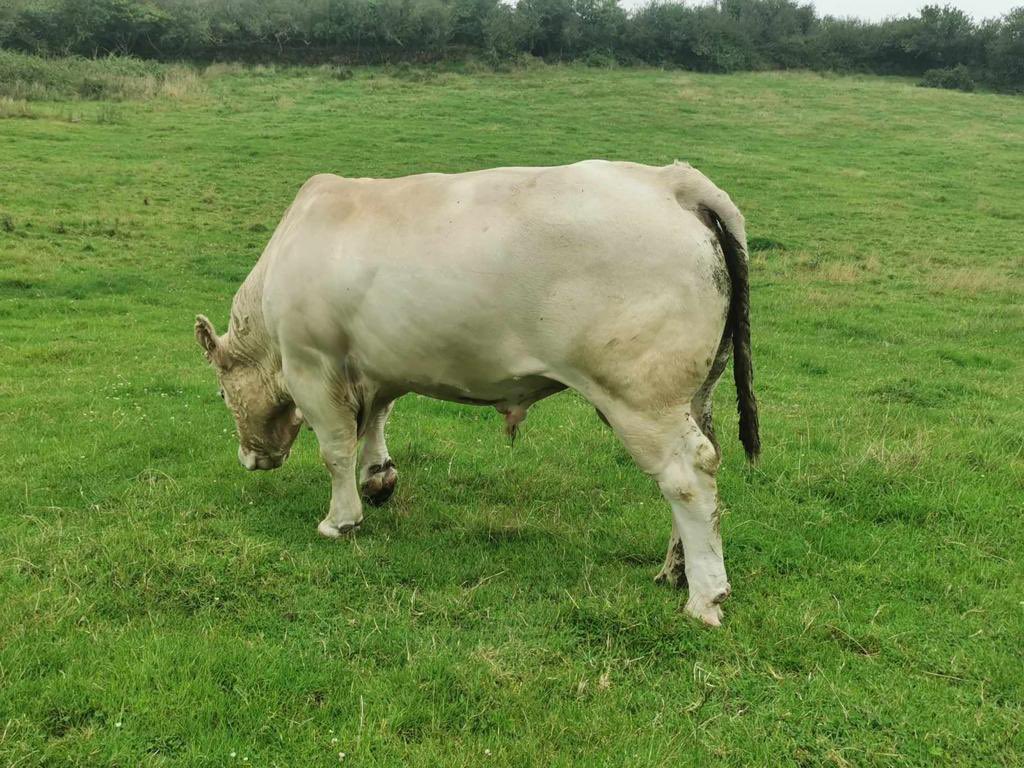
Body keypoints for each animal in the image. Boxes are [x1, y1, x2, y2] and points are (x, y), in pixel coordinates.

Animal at [194, 160, 759, 626]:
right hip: (694, 392)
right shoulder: (377, 365)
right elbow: (376, 418)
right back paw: (675, 570)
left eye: (222, 395)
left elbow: (336, 448)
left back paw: (704, 596)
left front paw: (341, 520)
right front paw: (379, 479)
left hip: (641, 397)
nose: (250, 459)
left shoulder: (312, 364)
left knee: (688, 475)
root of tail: (670, 180)